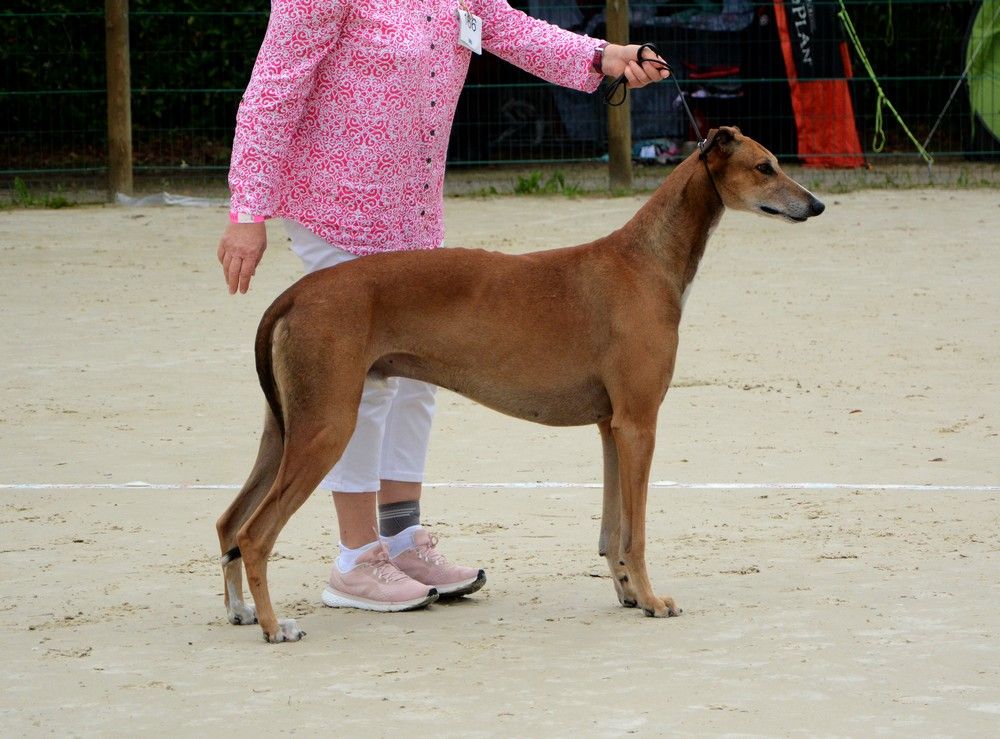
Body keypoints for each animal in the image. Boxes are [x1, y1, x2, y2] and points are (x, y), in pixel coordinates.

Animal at [219, 127, 828, 640]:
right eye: (765, 166)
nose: (817, 205)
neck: (645, 257)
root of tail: (296, 294)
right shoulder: (639, 423)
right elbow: (635, 532)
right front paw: (655, 601)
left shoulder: (612, 427)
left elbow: (612, 531)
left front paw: (628, 594)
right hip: (326, 426)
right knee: (254, 534)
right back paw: (275, 625)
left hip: (285, 429)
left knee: (229, 522)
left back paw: (241, 611)